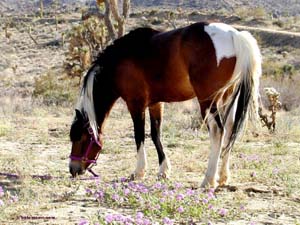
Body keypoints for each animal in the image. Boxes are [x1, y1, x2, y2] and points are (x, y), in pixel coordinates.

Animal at [69, 22, 262, 188]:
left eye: (80, 137)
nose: (73, 169)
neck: (121, 58)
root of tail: (234, 35)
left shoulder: (135, 104)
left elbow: (139, 135)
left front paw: (139, 171)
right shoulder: (156, 104)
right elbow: (156, 135)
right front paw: (163, 170)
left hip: (208, 102)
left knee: (217, 131)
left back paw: (208, 180)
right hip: (227, 98)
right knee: (229, 130)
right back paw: (222, 176)